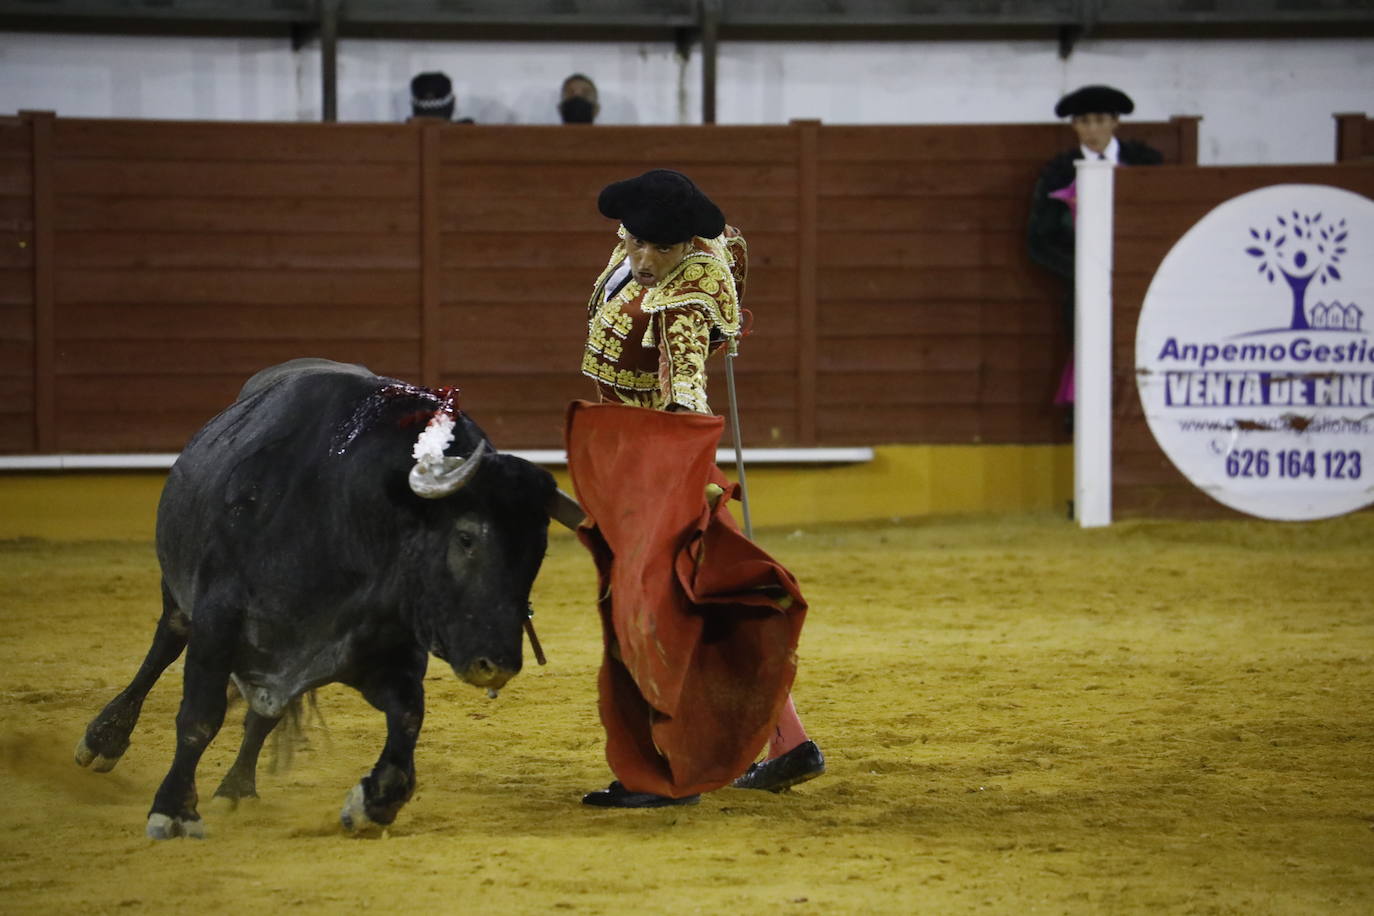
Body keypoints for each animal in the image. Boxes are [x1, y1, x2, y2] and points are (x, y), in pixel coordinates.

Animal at [75, 357, 579, 840]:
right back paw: (104, 739)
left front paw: (373, 804)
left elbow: (408, 717)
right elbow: (200, 716)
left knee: (264, 714)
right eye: (466, 538)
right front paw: (173, 811)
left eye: (538, 550)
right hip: (182, 600)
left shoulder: (383, 651)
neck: (349, 519)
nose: (498, 664)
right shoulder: (218, 619)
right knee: (165, 645)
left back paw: (238, 789)